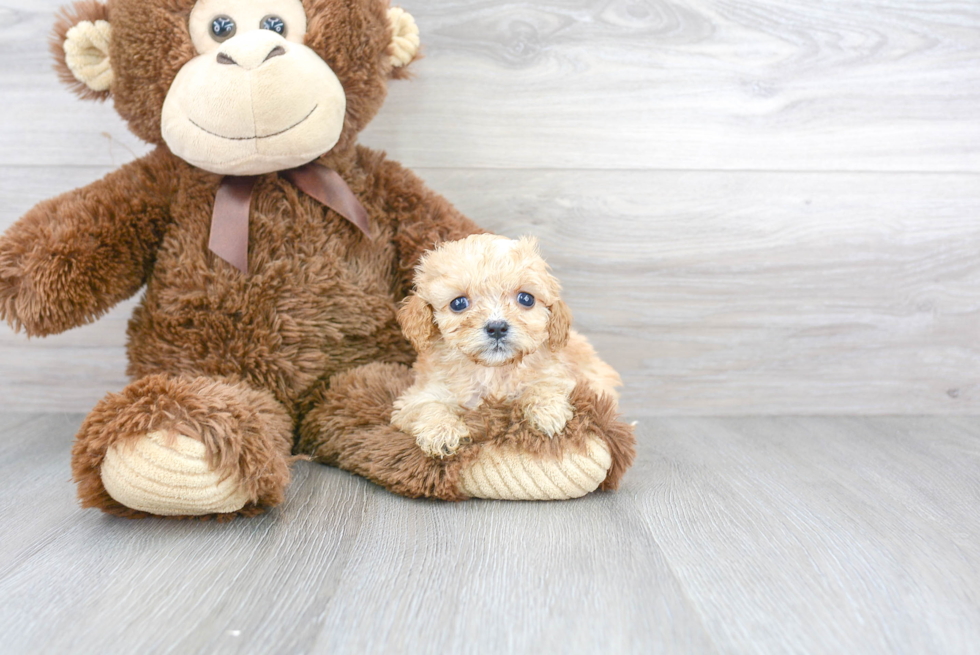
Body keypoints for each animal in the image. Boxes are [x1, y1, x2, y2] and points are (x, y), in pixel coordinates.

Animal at [390, 233, 620, 458]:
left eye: (526, 298)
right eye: (458, 303)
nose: (497, 327)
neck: (492, 371)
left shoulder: (561, 374)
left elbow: (544, 383)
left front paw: (548, 411)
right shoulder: (418, 395)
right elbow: (427, 405)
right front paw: (442, 432)